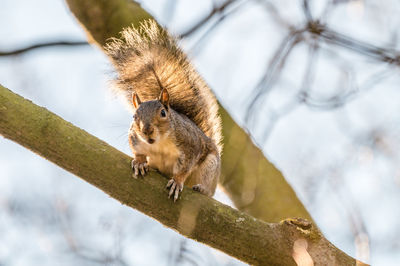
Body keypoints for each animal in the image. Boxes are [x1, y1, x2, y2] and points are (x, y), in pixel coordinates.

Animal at [104, 19, 223, 201]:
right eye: (134, 116)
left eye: (163, 113)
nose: (147, 130)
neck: (160, 142)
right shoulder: (135, 138)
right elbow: (137, 150)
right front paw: (139, 162)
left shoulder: (191, 145)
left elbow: (184, 168)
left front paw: (177, 181)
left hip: (210, 166)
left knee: (207, 187)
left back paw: (202, 189)